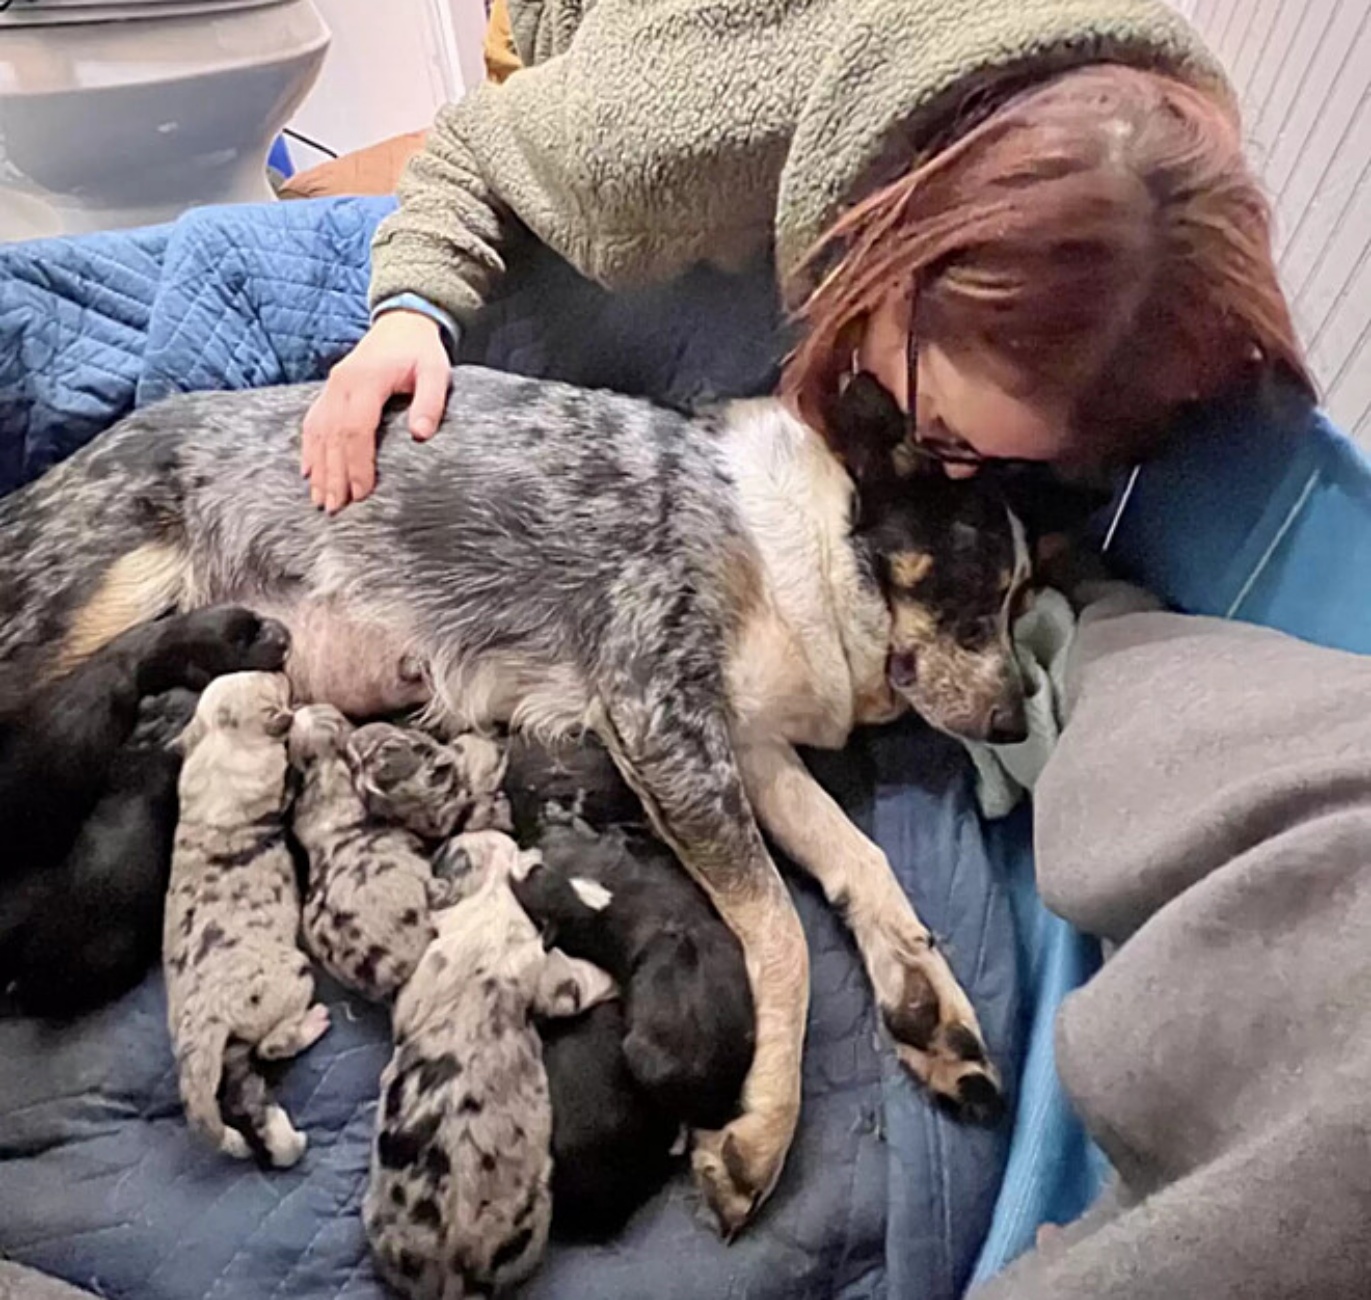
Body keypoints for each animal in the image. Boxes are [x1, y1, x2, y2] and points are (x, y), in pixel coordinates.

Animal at [161, 674, 327, 1162]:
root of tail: (204, 1023)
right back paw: (313, 1023)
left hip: (230, 1054)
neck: (224, 741)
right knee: (271, 1047)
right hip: (293, 974)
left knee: (249, 1095)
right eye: (270, 683)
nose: (285, 674)